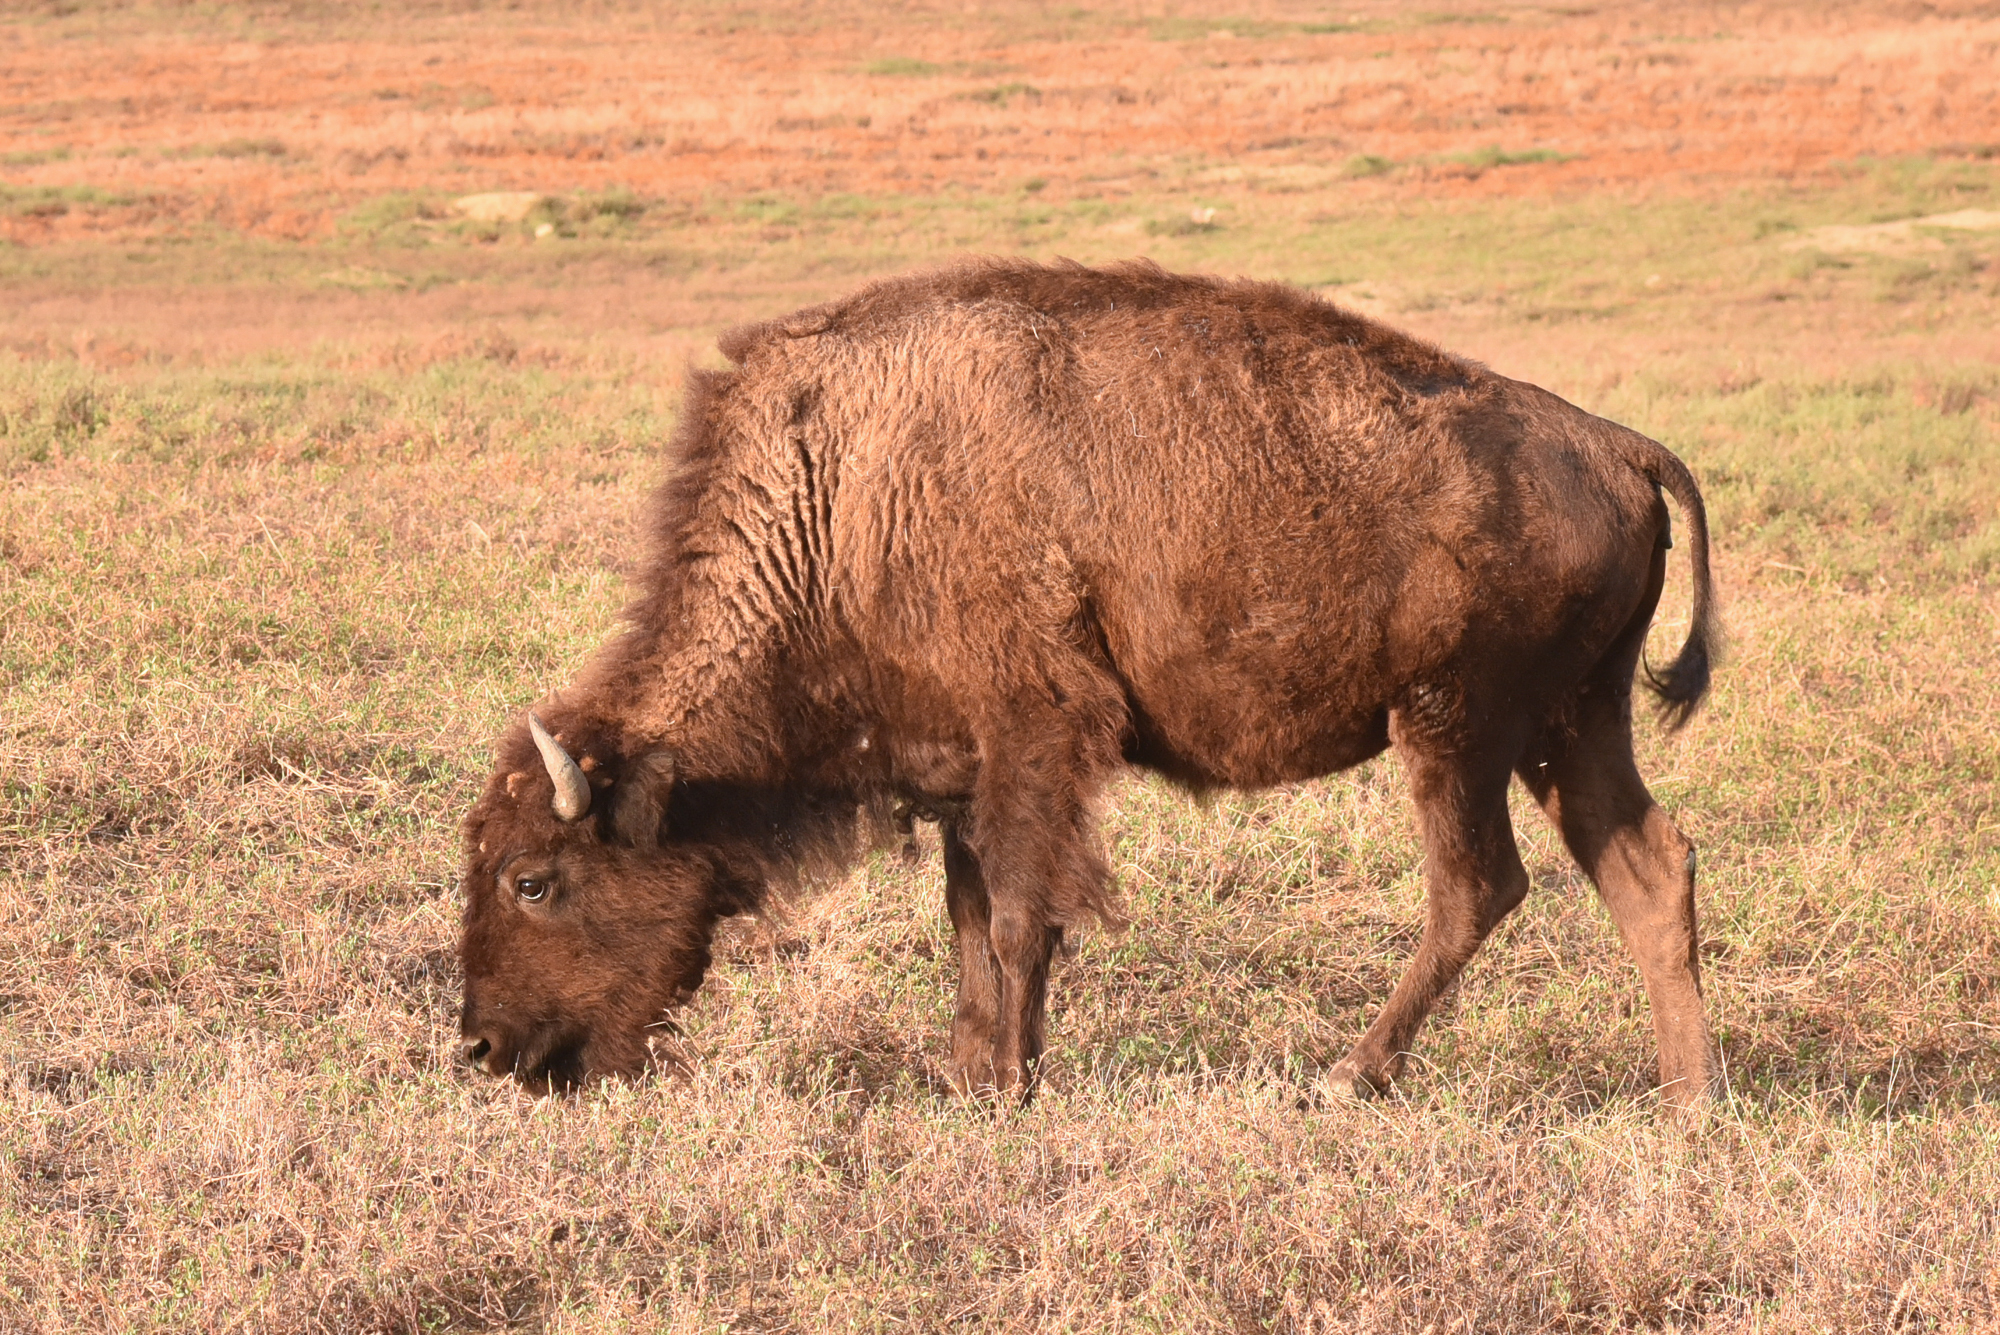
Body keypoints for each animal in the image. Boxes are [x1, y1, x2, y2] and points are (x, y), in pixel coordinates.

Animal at [458, 257, 1720, 1103]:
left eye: (532, 880)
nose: (481, 1048)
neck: (846, 487)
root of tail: (1615, 444)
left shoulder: (1035, 735)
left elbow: (1021, 918)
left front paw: (1011, 1086)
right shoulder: (963, 765)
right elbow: (970, 923)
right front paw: (971, 1077)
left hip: (1455, 727)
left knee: (1476, 887)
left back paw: (1344, 1077)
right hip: (1570, 724)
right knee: (1646, 866)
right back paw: (1685, 1101)